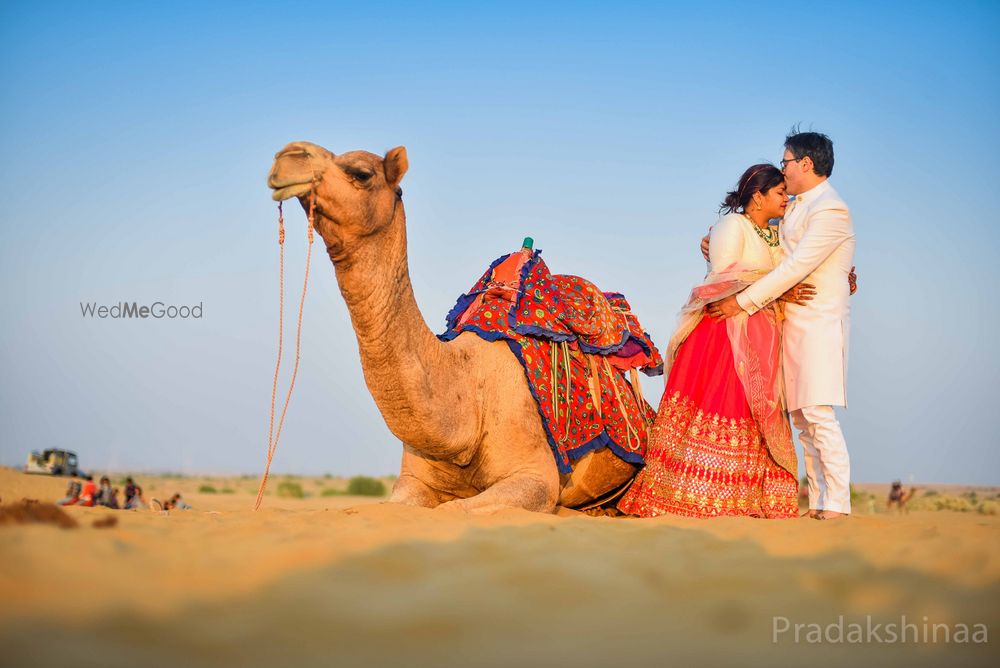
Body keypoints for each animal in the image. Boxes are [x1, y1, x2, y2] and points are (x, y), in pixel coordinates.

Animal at [266, 144, 640, 516]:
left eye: (360, 173)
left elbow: (455, 509)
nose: (288, 156)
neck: (467, 397)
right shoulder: (411, 480)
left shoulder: (536, 477)